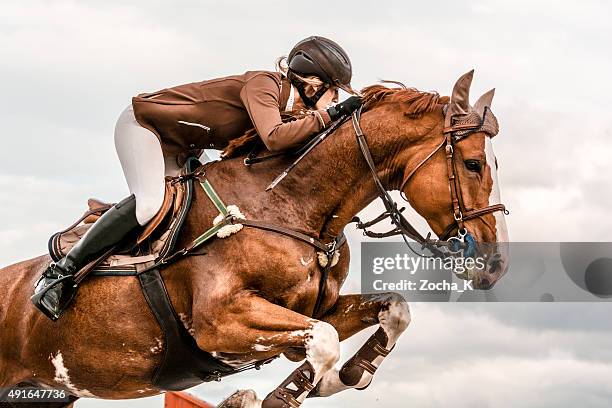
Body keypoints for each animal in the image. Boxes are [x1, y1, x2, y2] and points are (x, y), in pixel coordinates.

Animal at [0, 71, 506, 408]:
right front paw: (292, 391)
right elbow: (324, 341)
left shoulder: (314, 309)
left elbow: (392, 310)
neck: (290, 204)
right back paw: (53, 287)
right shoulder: (221, 320)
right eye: (474, 164)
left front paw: (343, 376)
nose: (495, 266)